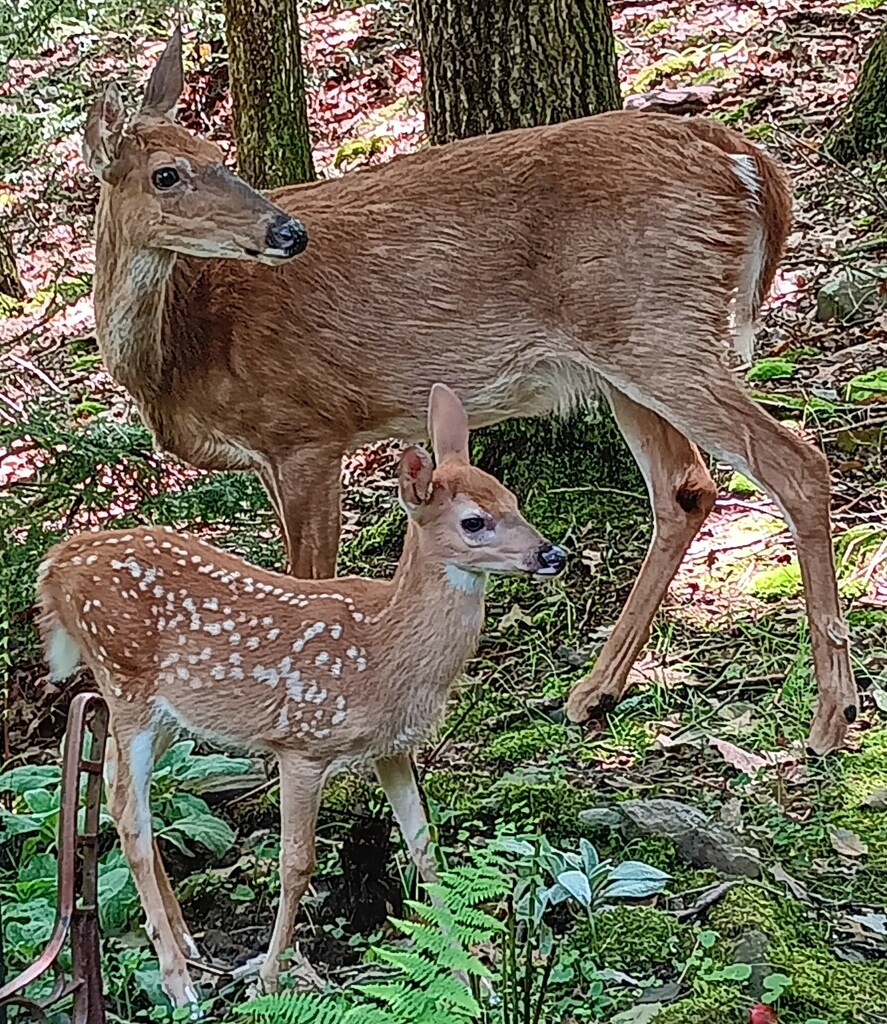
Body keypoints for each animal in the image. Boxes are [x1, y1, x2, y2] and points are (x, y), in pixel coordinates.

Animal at [36, 385, 565, 1015]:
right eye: (474, 521)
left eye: (513, 499)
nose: (552, 554)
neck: (383, 651)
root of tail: (55, 563)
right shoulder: (303, 742)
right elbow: (297, 865)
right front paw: (268, 978)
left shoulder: (391, 748)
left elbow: (426, 851)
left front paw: (470, 979)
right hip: (125, 679)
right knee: (129, 813)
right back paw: (180, 982)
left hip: (166, 712)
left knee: (118, 783)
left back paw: (186, 940)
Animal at [82, 29, 856, 753]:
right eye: (167, 173)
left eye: (218, 151)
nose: (287, 231)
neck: (181, 348)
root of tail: (743, 158)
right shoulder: (273, 450)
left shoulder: (306, 429)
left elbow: (307, 581)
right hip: (628, 351)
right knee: (685, 489)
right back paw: (594, 691)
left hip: (660, 326)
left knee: (796, 464)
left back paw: (831, 716)